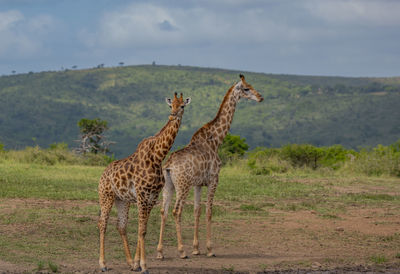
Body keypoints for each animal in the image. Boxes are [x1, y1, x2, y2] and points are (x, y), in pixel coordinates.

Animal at [97, 92, 191, 274]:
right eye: (171, 105)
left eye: (182, 105)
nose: (172, 115)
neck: (158, 156)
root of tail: (102, 175)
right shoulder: (142, 195)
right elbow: (141, 230)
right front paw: (144, 265)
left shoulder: (152, 197)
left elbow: (143, 229)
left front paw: (136, 264)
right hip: (106, 196)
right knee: (102, 223)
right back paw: (103, 264)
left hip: (122, 200)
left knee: (121, 226)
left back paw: (127, 262)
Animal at [158, 74, 264, 260]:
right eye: (246, 88)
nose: (260, 97)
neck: (216, 140)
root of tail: (169, 166)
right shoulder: (214, 179)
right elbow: (209, 211)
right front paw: (209, 249)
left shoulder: (199, 184)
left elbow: (197, 210)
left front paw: (196, 248)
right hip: (183, 186)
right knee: (176, 211)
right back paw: (181, 251)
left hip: (169, 185)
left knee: (164, 211)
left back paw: (160, 252)